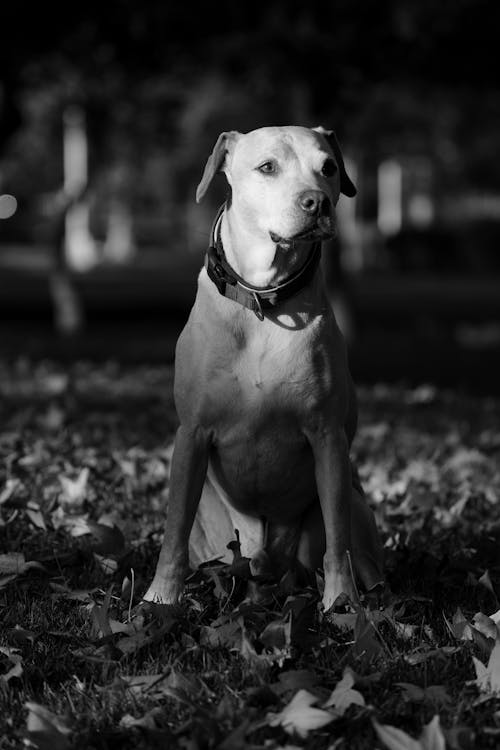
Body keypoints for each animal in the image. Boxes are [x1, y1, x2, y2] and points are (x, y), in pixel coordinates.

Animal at [143, 126, 384, 612]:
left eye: (329, 167)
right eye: (267, 167)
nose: (317, 202)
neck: (264, 302)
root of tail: (266, 561)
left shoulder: (327, 438)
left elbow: (338, 540)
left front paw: (340, 602)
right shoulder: (192, 434)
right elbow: (173, 531)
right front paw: (161, 597)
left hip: (355, 506)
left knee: (353, 545)